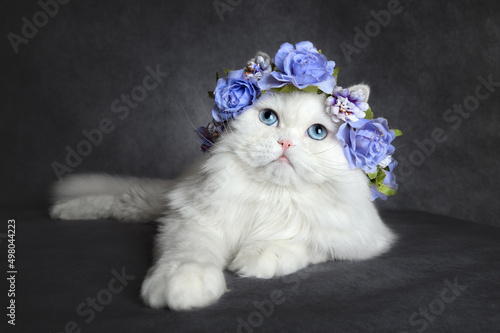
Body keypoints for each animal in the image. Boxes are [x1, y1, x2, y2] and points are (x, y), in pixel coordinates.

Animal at [49, 87, 394, 310]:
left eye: (317, 133)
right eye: (268, 118)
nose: (285, 142)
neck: (271, 196)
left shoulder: (353, 236)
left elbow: (303, 240)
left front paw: (257, 258)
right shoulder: (190, 218)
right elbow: (189, 253)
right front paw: (183, 284)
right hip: (158, 199)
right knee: (120, 199)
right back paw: (62, 210)